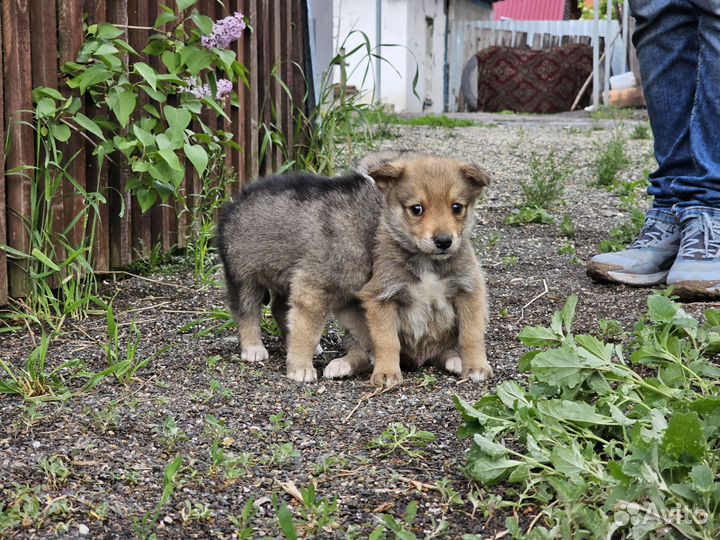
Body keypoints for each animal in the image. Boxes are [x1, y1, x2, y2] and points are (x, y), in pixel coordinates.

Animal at [324, 152, 492, 386]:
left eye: (457, 207)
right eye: (416, 209)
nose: (443, 241)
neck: (426, 261)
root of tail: (420, 359)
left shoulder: (469, 290)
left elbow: (471, 335)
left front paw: (476, 366)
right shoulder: (381, 296)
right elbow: (386, 341)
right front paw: (386, 372)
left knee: (445, 351)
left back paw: (456, 361)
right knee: (360, 352)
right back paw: (342, 365)